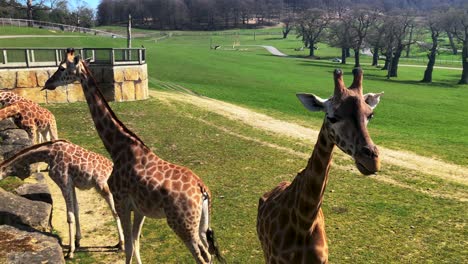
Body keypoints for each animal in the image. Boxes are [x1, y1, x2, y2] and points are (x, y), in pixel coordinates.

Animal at [43, 48, 224, 264]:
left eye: (62, 67)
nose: (47, 83)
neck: (117, 147)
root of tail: (202, 190)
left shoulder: (121, 201)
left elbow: (129, 246)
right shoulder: (139, 208)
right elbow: (136, 243)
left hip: (183, 225)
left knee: (202, 256)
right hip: (201, 224)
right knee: (208, 252)